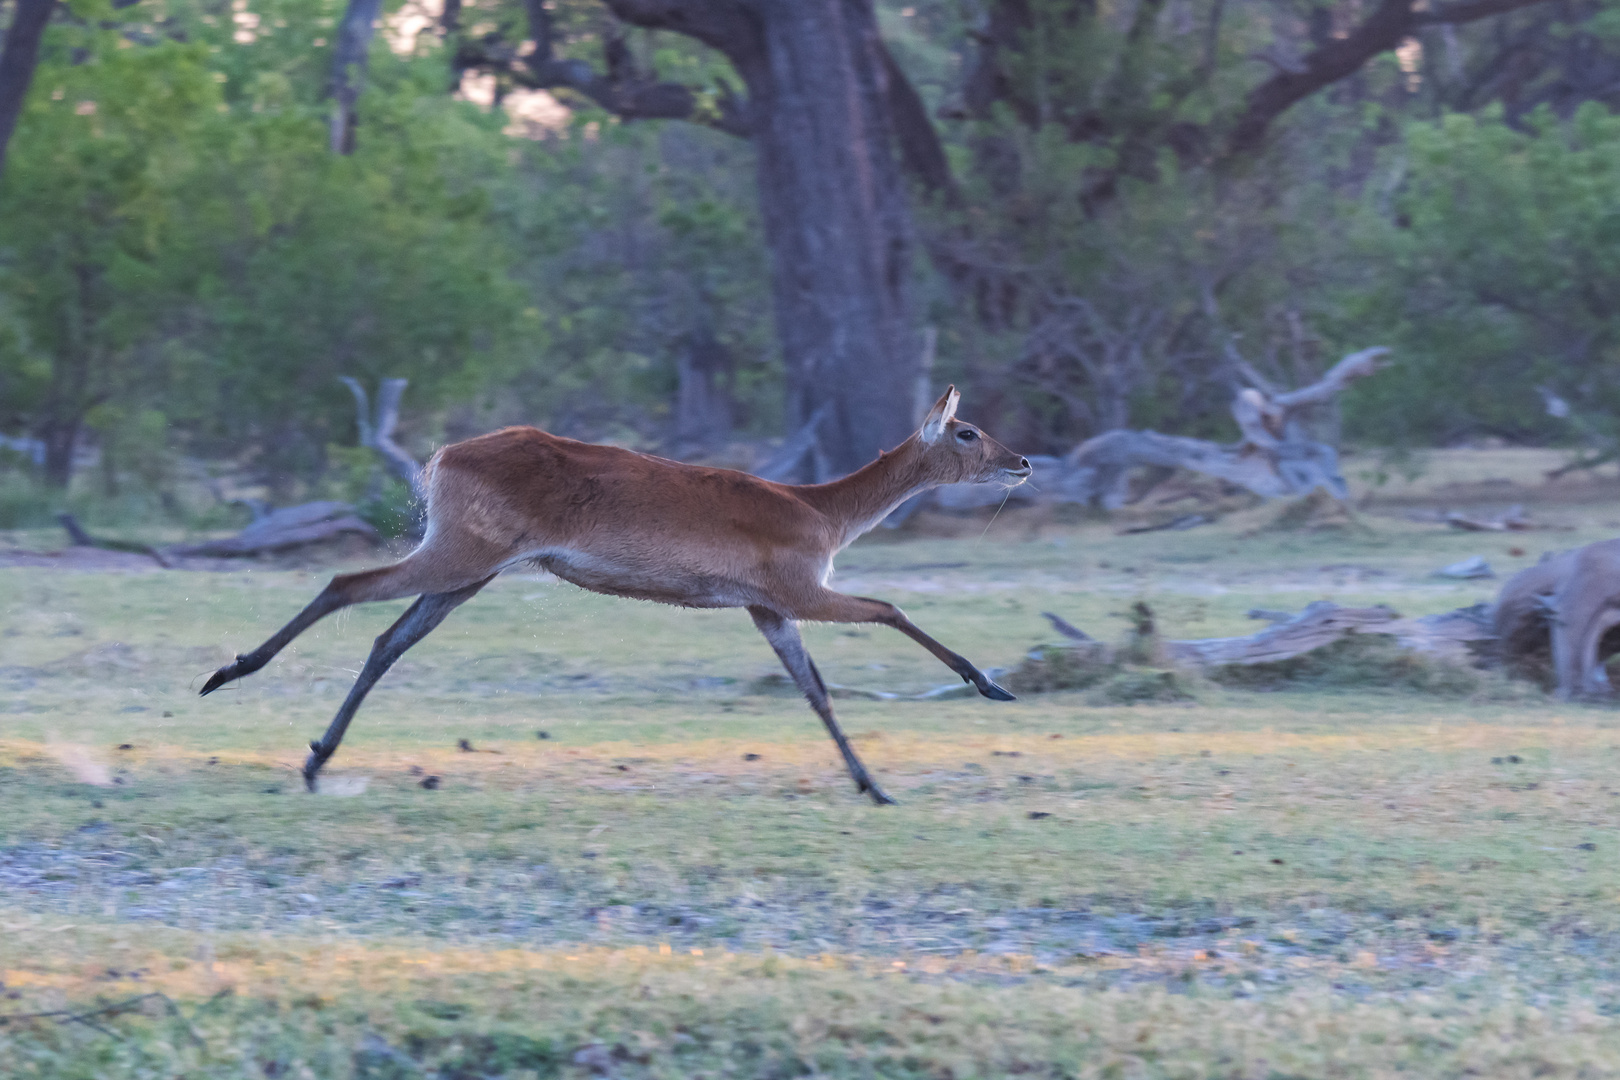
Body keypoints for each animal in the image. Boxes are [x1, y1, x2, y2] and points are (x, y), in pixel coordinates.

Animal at [202, 388, 1030, 803]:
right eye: (965, 430)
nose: (1023, 461)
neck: (822, 510)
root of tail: (441, 455)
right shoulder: (801, 593)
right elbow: (891, 609)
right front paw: (990, 685)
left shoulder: (768, 611)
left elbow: (816, 691)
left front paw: (872, 785)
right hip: (459, 555)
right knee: (346, 584)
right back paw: (226, 675)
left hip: (468, 573)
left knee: (387, 638)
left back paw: (316, 760)